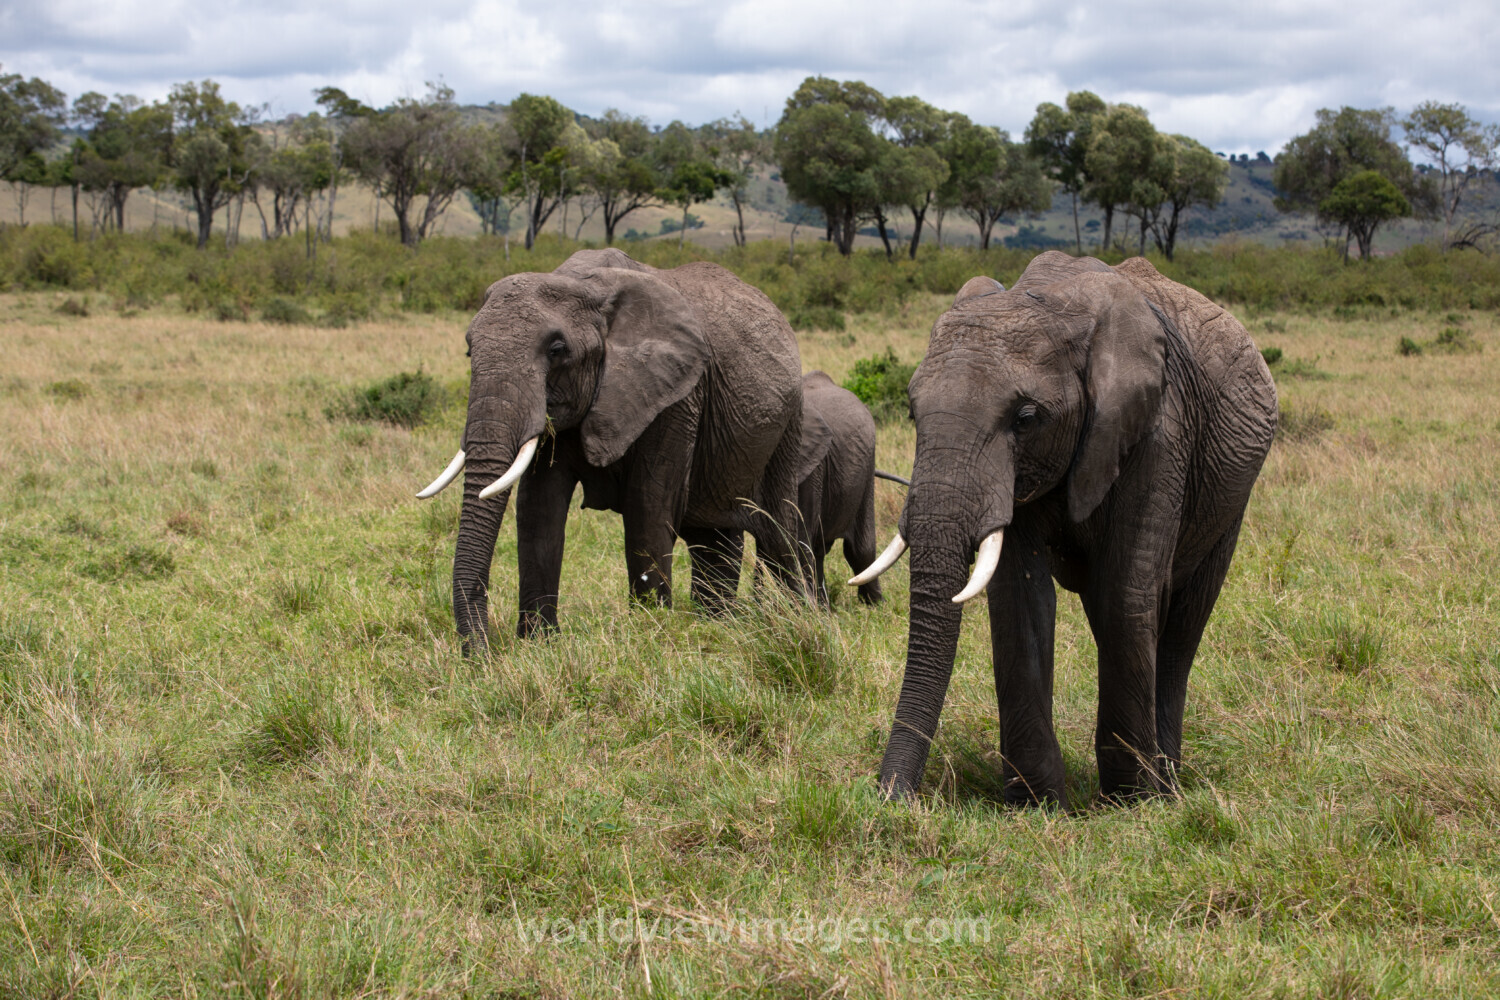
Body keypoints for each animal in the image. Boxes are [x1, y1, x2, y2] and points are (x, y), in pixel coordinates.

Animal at [415, 248, 808, 648]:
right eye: (469, 351)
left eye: (557, 350)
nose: (481, 653)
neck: (587, 286)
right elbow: (538, 508)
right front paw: (539, 643)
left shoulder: (677, 397)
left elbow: (647, 507)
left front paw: (650, 632)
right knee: (713, 539)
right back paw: (717, 624)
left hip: (788, 424)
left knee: (779, 535)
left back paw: (790, 619)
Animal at [797, 371, 883, 606]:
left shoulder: (812, 467)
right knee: (819, 549)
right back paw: (823, 605)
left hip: (867, 466)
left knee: (860, 548)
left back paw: (874, 605)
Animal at [851, 253, 1277, 803]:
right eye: (910, 410)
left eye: (1027, 417)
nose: (891, 797)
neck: (1051, 302)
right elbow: (1020, 598)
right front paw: (1037, 803)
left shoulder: (1159, 434)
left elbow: (1124, 594)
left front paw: (1131, 800)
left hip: (1233, 496)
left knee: (1180, 626)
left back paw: (1166, 785)